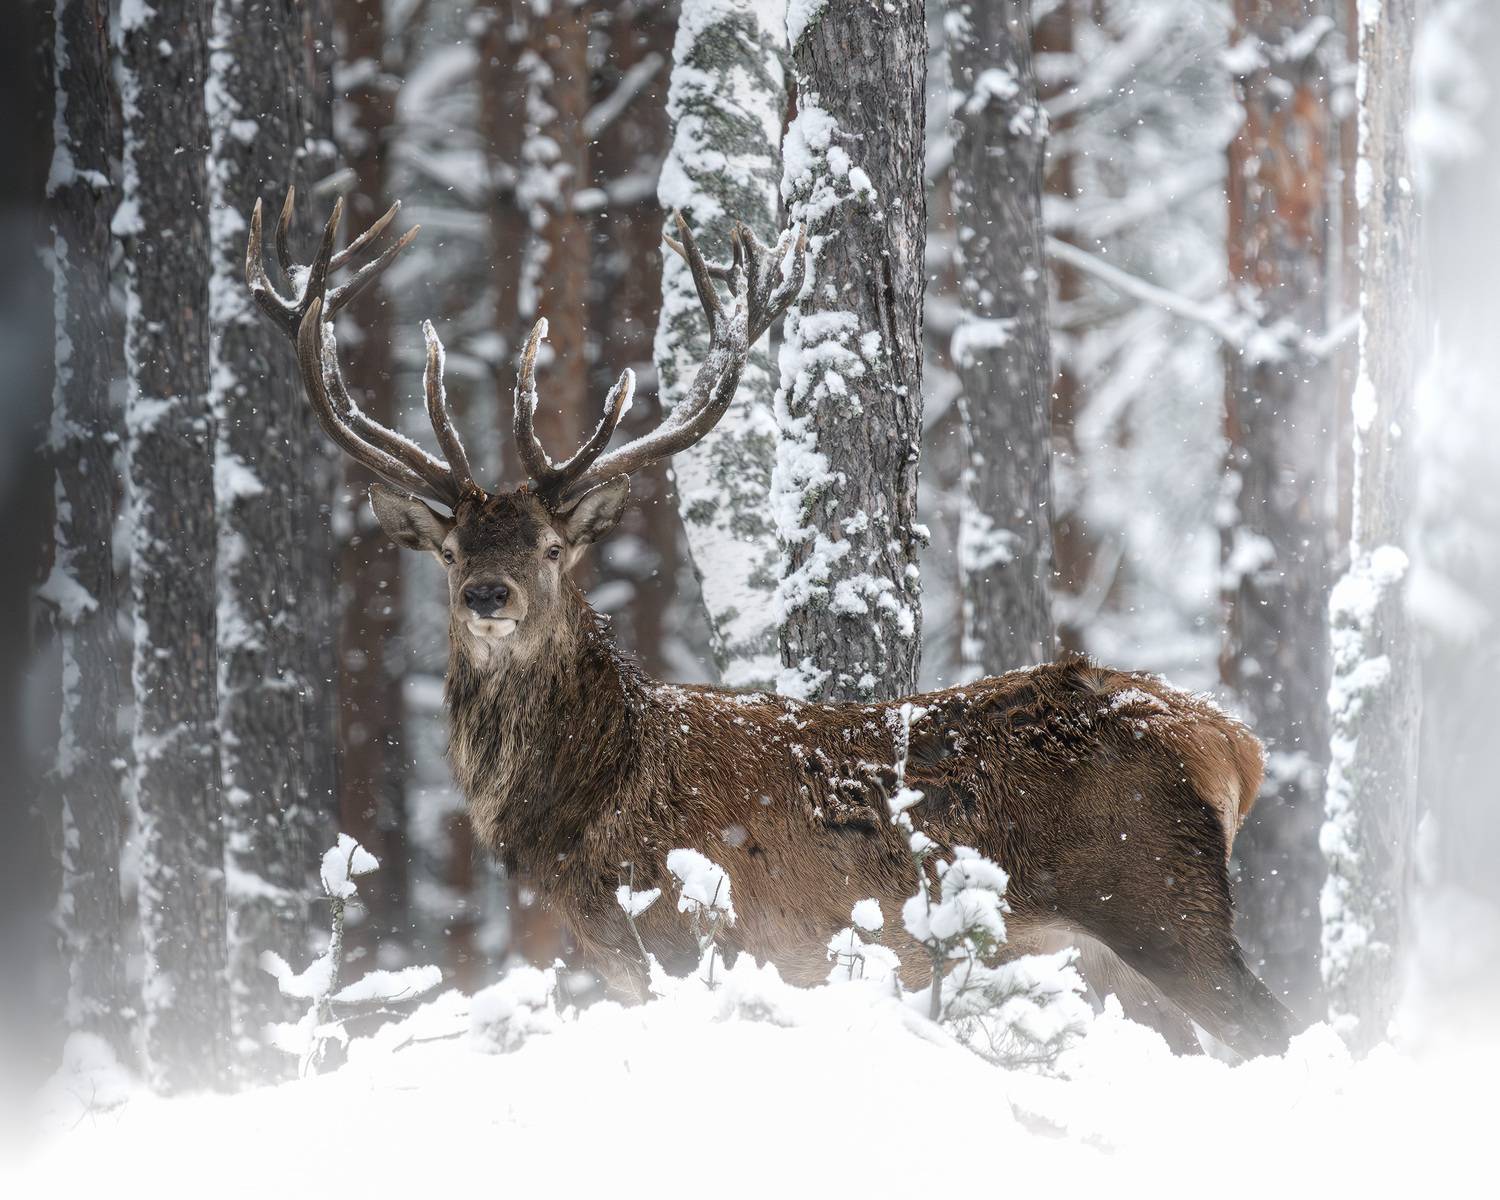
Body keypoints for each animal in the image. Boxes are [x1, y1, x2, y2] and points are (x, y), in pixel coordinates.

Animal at [244, 189, 1295, 1060]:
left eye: (549, 547)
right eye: (454, 550)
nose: (488, 595)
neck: (586, 810)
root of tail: (1235, 743)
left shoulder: (687, 932)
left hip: (1162, 904)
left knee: (1278, 1028)